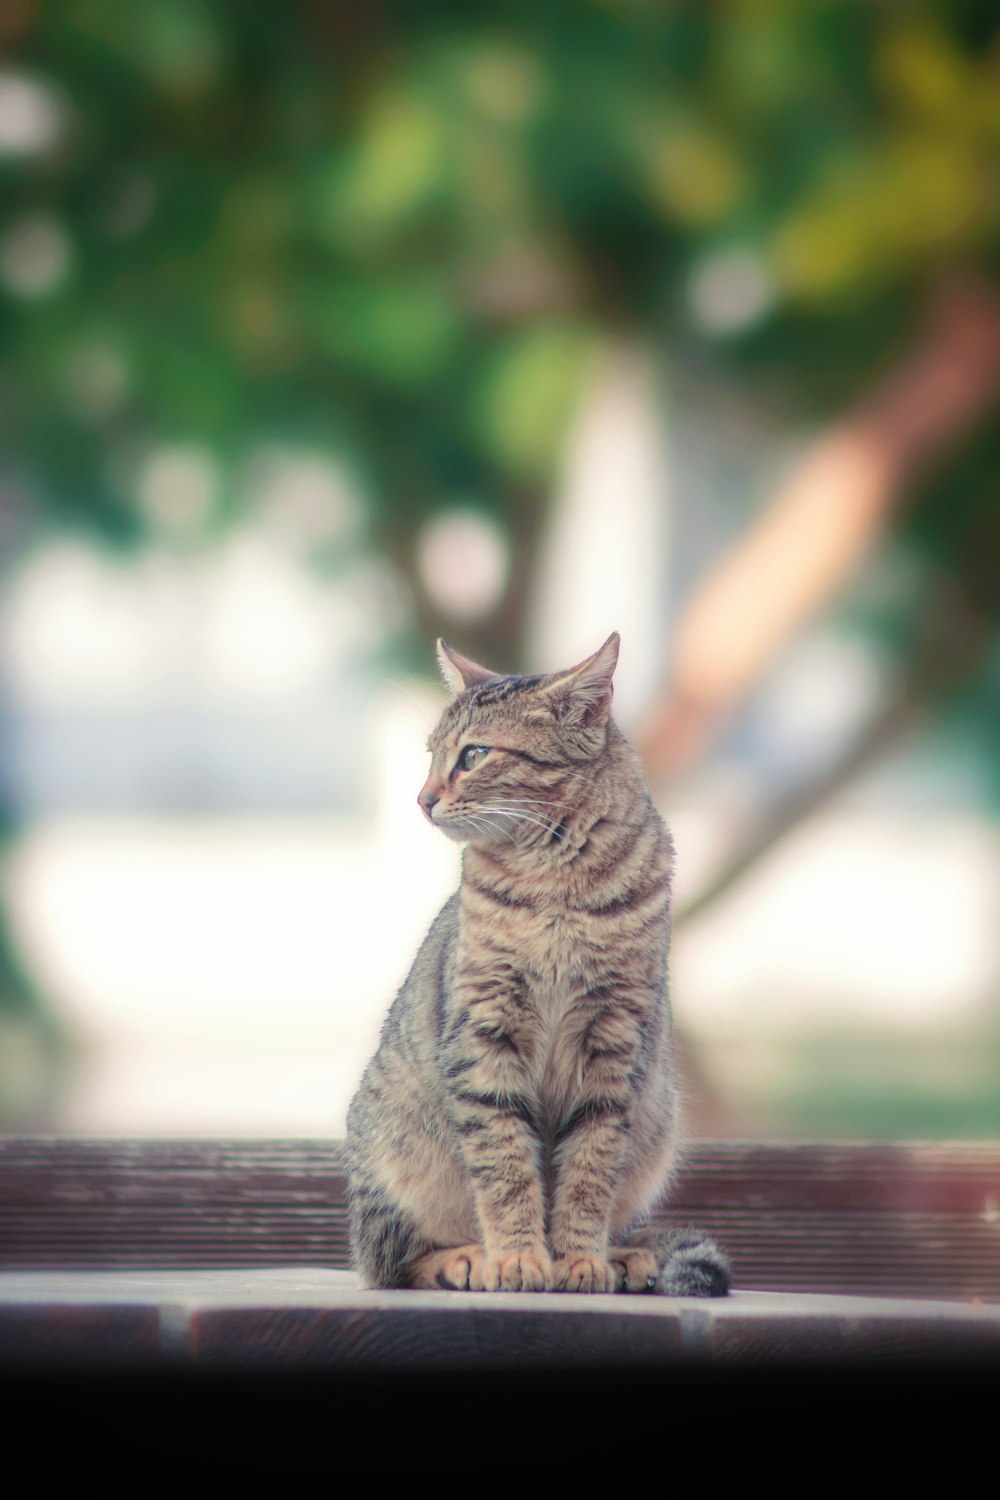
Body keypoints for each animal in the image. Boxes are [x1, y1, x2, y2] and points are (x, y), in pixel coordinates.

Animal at [347, 627, 731, 1296]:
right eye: (432, 754)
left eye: (473, 755)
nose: (422, 799)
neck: (556, 885)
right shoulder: (484, 1034)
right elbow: (504, 1165)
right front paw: (518, 1257)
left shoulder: (615, 1046)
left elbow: (588, 1170)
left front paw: (578, 1258)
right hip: (394, 1160)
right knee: (391, 1260)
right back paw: (467, 1257)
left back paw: (625, 1257)